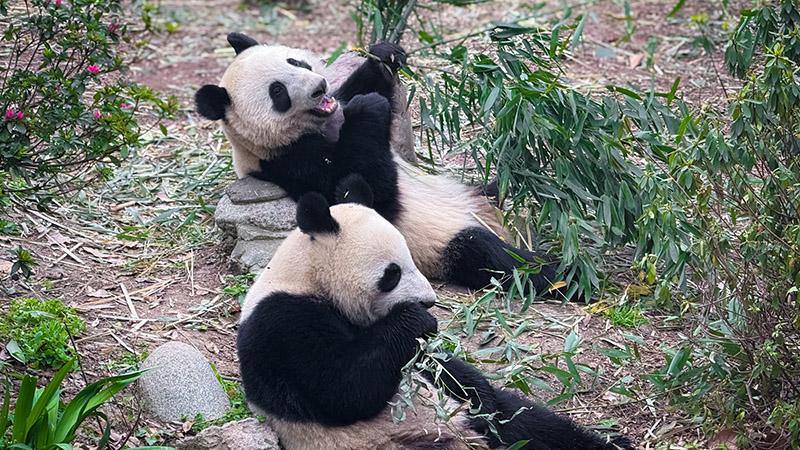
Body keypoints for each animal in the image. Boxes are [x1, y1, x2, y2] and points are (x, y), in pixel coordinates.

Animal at [196, 33, 565, 298]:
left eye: (296, 61)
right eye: (278, 92)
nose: (319, 88)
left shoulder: (335, 106)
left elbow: (359, 87)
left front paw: (384, 54)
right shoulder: (291, 163)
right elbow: (368, 185)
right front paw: (369, 107)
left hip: (480, 192)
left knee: (501, 189)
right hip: (440, 245)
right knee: (494, 258)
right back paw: (562, 269)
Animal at [236, 175, 635, 450]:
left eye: (412, 261)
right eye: (392, 273)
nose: (428, 301)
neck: (308, 276)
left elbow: (446, 369)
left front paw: (470, 386)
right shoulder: (281, 324)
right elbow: (339, 389)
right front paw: (415, 321)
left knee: (533, 424)